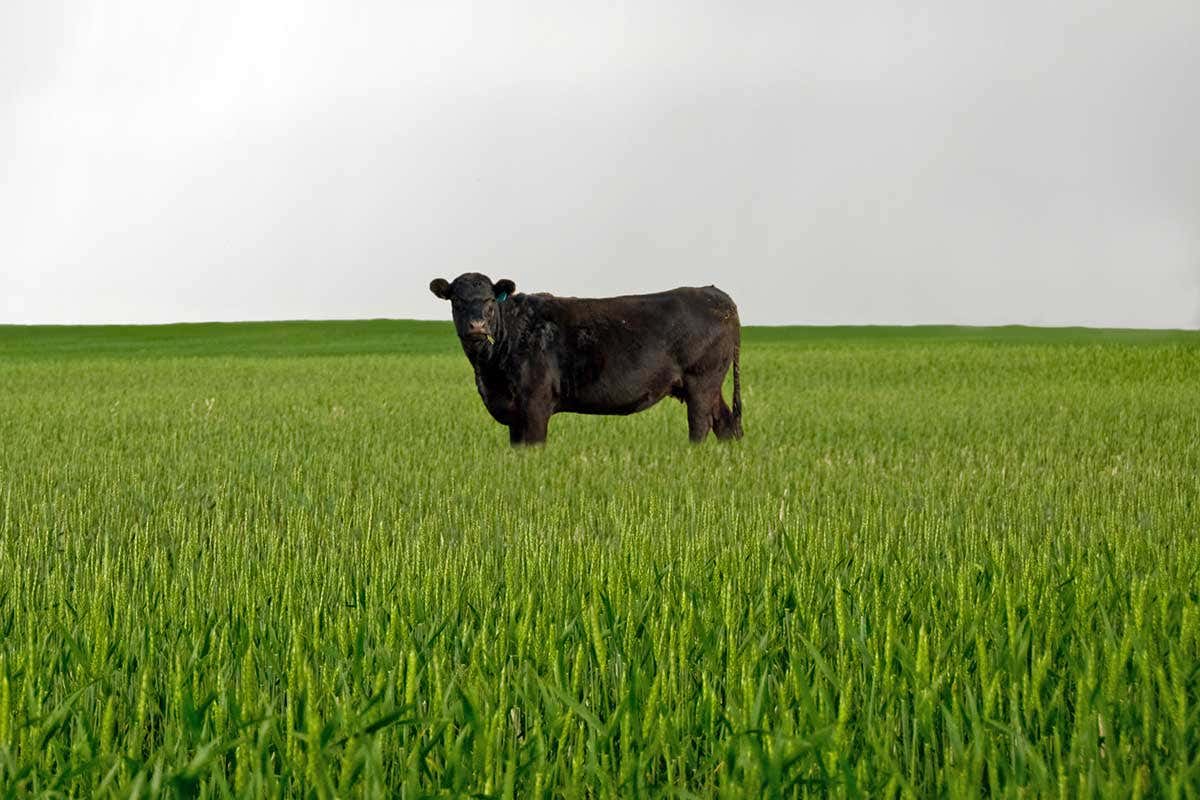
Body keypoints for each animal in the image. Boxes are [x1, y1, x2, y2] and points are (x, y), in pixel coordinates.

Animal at [429, 273, 743, 446]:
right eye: (457, 301)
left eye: (490, 300)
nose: (477, 326)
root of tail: (715, 293)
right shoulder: (515, 414)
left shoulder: (535, 404)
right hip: (709, 385)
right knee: (726, 423)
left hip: (701, 381)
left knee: (701, 426)